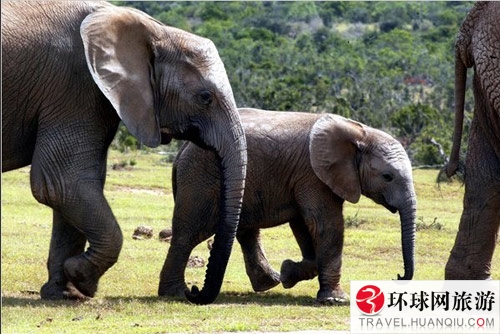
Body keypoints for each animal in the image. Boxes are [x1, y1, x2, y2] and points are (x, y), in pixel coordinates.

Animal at [1, 0, 248, 302]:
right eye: (205, 98)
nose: (193, 290)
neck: (155, 31)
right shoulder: (74, 86)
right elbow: (62, 182)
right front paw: (82, 278)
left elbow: (74, 185)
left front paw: (66, 292)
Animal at [158, 108, 416, 304]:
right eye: (387, 177)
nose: (397, 276)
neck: (360, 132)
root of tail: (182, 151)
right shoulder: (313, 175)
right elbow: (325, 224)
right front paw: (335, 300)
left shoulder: (306, 178)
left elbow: (304, 225)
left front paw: (288, 273)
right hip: (201, 178)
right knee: (189, 234)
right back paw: (176, 294)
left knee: (245, 231)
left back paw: (269, 282)